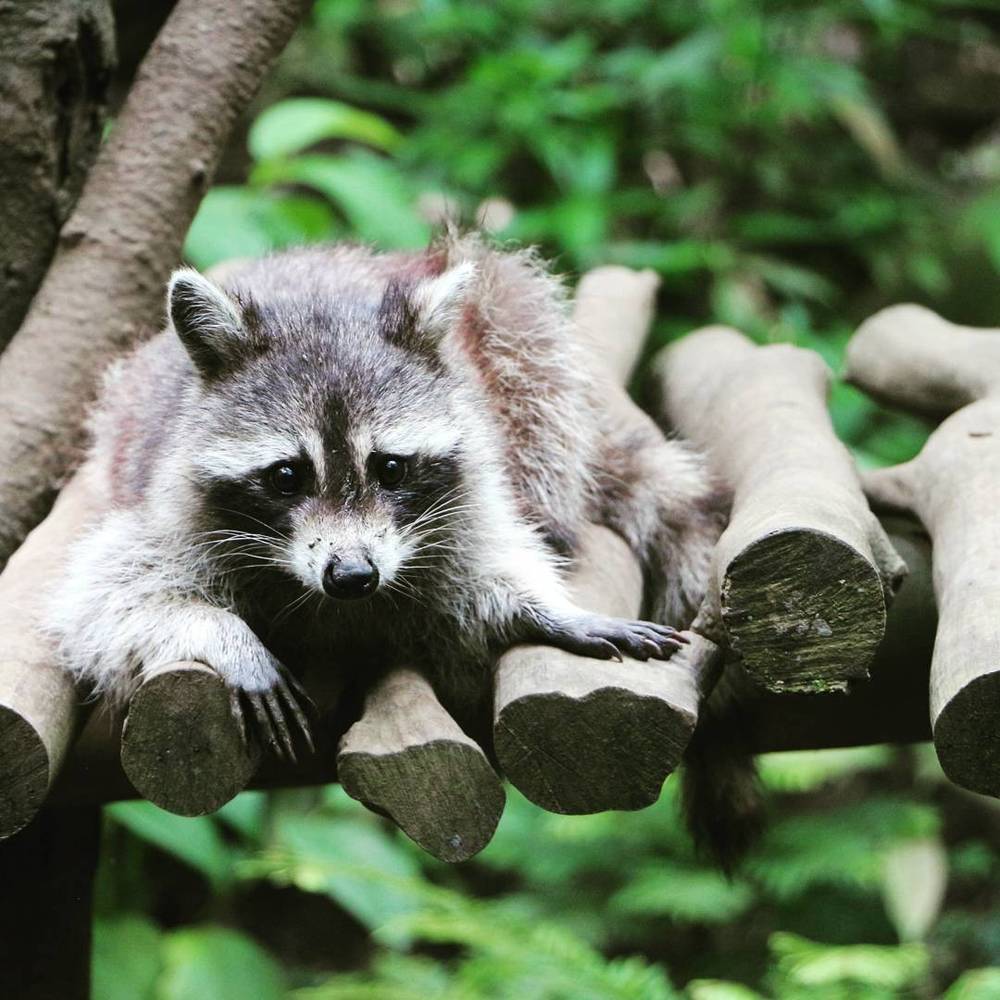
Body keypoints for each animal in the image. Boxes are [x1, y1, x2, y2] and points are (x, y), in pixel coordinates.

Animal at [48, 234, 722, 754]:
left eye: (391, 468)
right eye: (287, 476)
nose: (352, 576)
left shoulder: (460, 502)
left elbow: (481, 574)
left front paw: (547, 608)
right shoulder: (175, 512)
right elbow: (102, 601)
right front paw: (223, 633)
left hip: (516, 340)